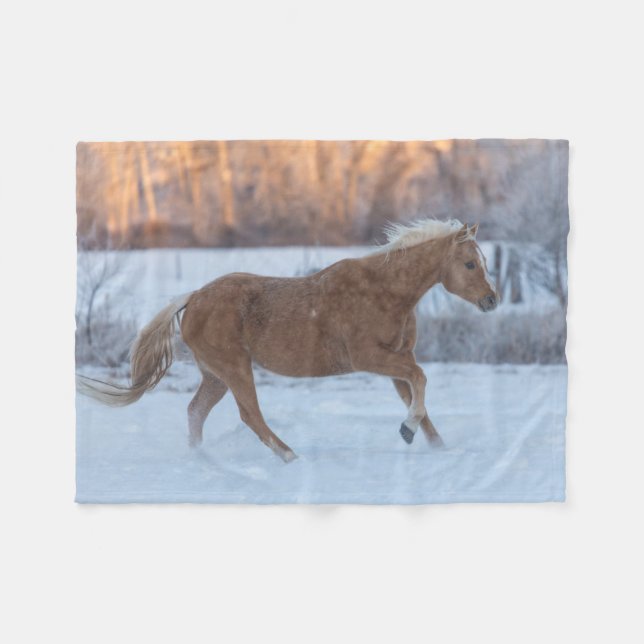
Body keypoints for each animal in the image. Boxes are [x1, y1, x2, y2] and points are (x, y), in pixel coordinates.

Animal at [77, 219, 498, 462]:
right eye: (469, 264)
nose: (491, 300)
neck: (385, 291)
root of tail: (193, 298)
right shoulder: (369, 358)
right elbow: (421, 379)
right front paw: (407, 431)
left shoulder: (395, 362)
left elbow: (419, 399)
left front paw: (436, 446)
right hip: (235, 368)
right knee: (250, 415)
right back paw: (290, 456)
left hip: (215, 376)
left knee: (196, 411)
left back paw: (202, 459)